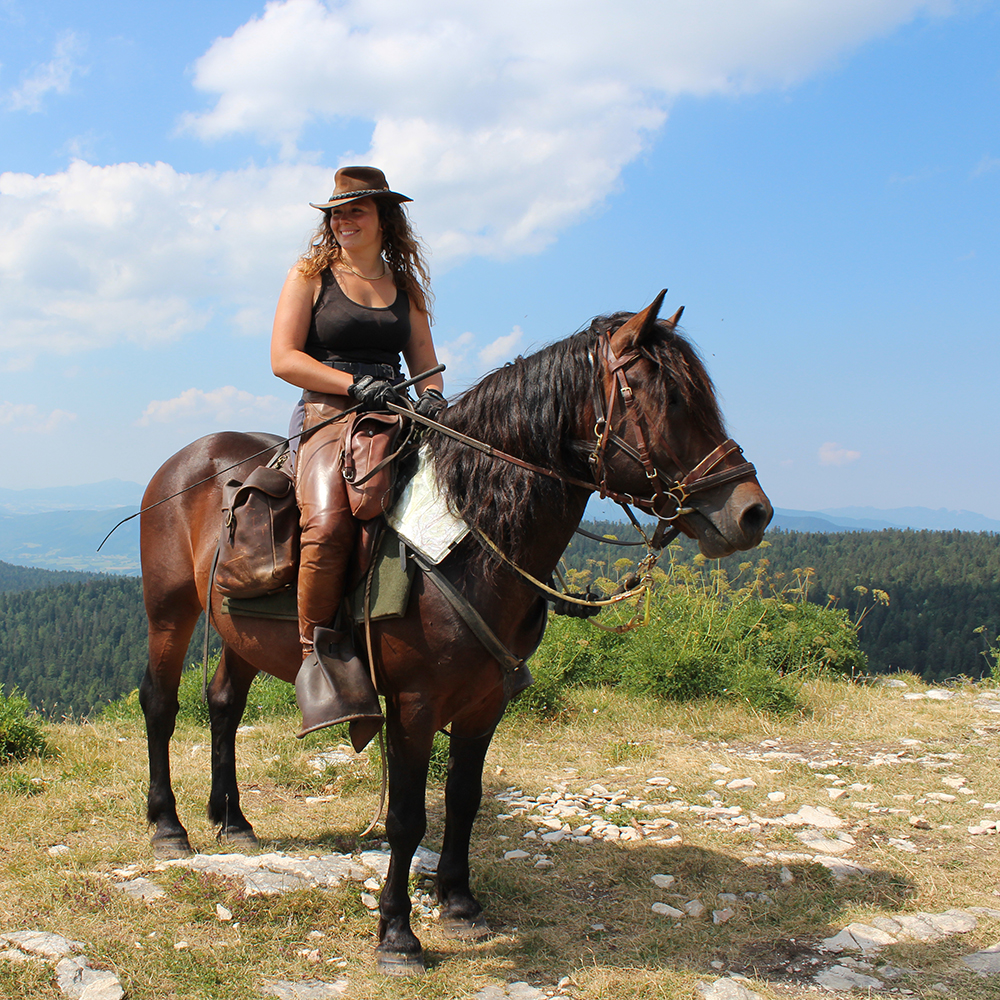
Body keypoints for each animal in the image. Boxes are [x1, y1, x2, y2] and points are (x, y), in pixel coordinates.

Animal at [138, 293, 772, 974]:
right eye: (671, 399)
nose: (752, 512)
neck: (472, 531)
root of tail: (186, 460)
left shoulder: (485, 701)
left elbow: (463, 798)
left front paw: (461, 903)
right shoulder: (414, 705)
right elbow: (407, 818)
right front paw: (397, 933)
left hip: (243, 634)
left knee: (224, 704)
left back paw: (231, 819)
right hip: (169, 613)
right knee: (161, 704)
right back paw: (169, 827)